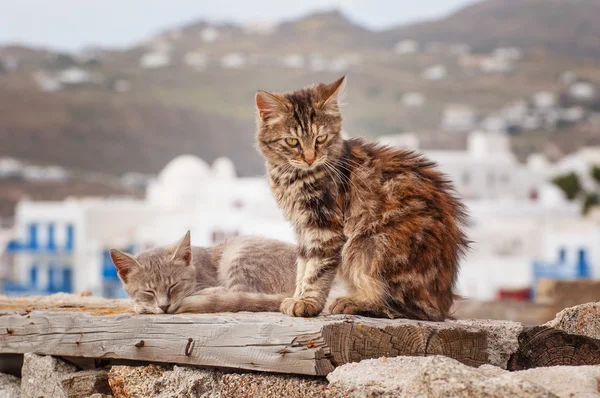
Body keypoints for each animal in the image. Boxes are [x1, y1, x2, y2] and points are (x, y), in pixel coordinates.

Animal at [110, 232, 298, 316]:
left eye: (173, 285)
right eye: (149, 291)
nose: (164, 306)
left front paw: (141, 306)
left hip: (239, 254)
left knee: (240, 293)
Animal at [253, 77, 468, 320]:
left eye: (321, 139)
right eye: (291, 141)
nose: (309, 158)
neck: (292, 177)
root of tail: (443, 300)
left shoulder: (324, 227)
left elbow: (316, 271)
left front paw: (307, 302)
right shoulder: (302, 228)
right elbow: (303, 267)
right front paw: (298, 296)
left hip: (372, 245)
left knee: (403, 308)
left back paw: (354, 303)